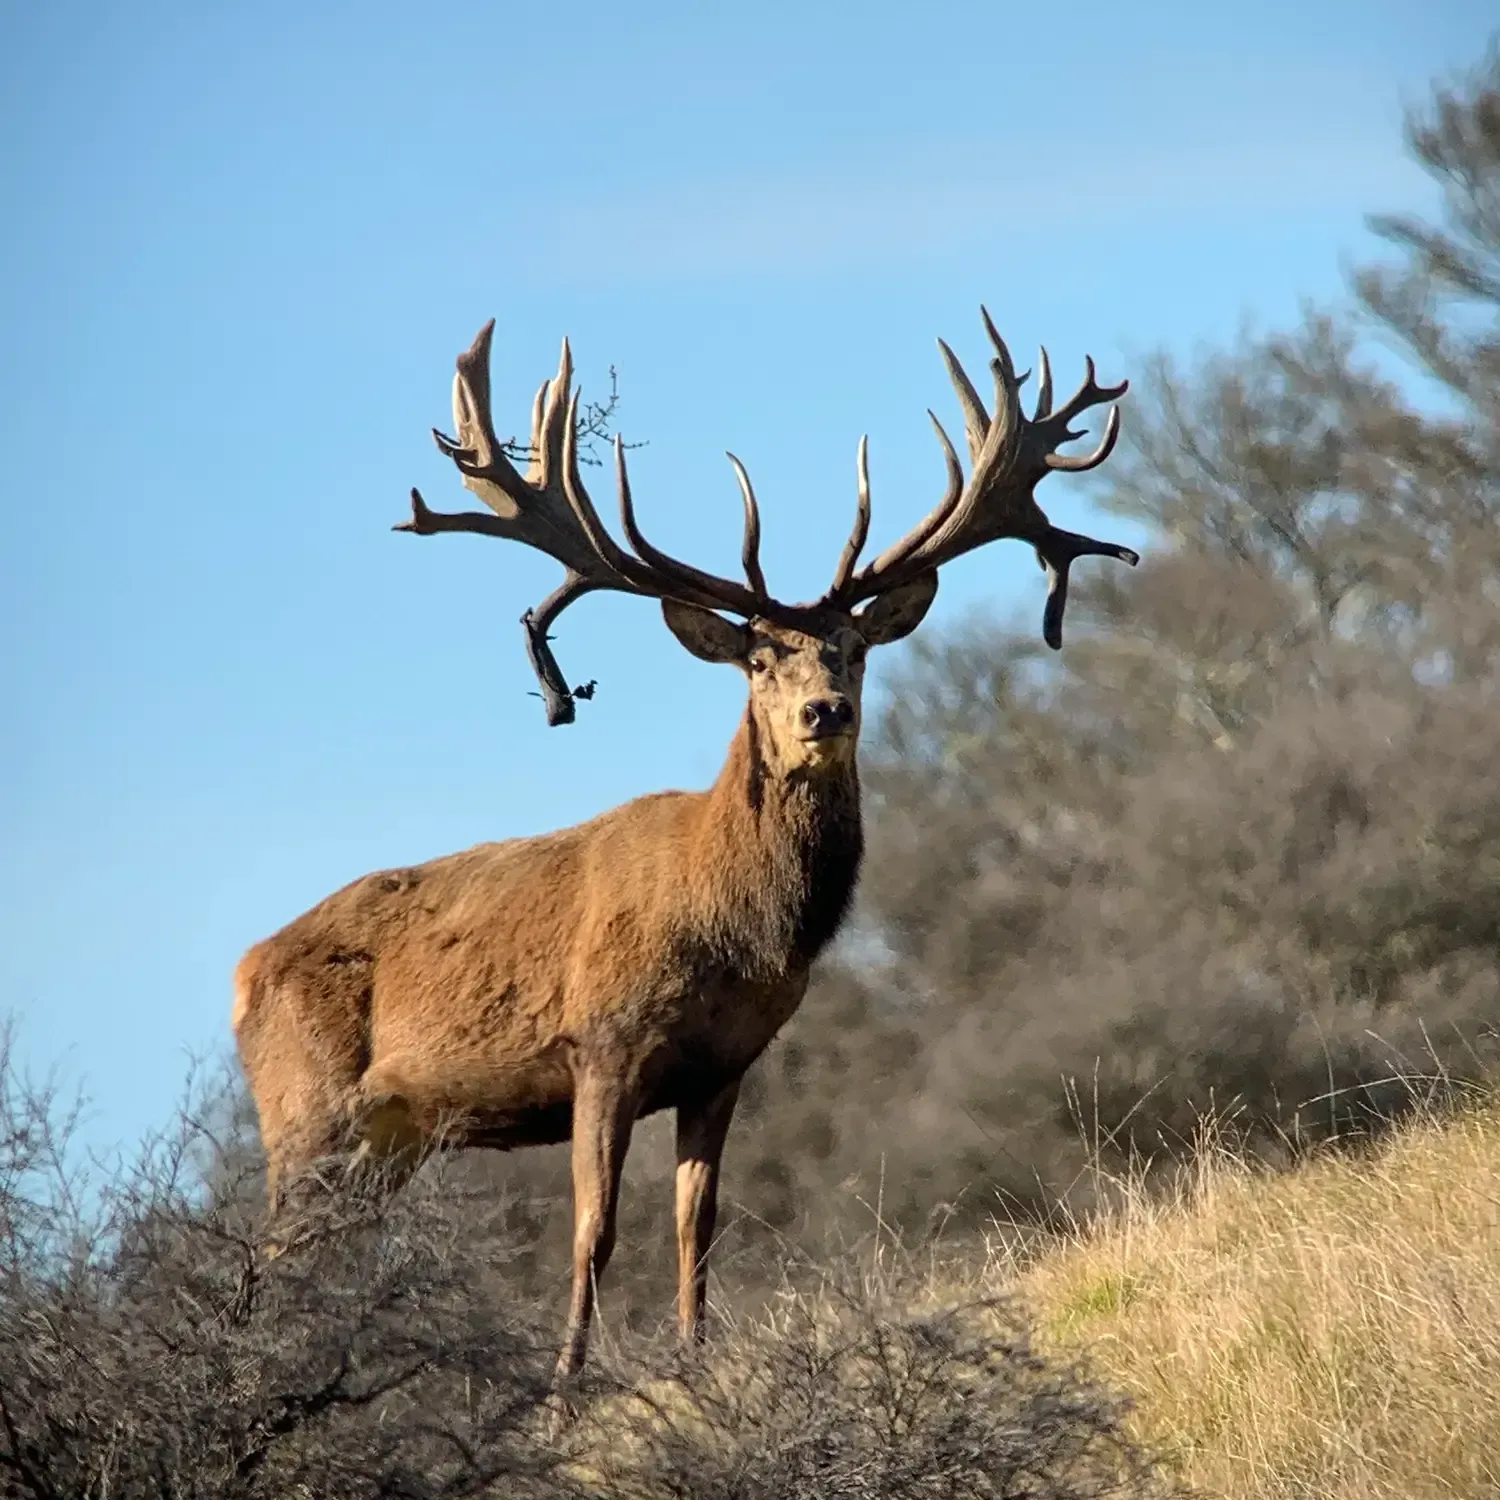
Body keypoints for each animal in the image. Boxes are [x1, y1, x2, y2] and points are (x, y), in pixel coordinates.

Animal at [231, 308, 1137, 1392]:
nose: (824, 711)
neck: (731, 929)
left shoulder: (722, 1065)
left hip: (388, 1141)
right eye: (759, 660)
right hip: (305, 1108)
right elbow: (594, 1232)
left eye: (854, 650)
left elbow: (696, 1229)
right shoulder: (600, 1043)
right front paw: (565, 1393)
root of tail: (243, 973)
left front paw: (694, 1364)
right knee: (267, 1266)